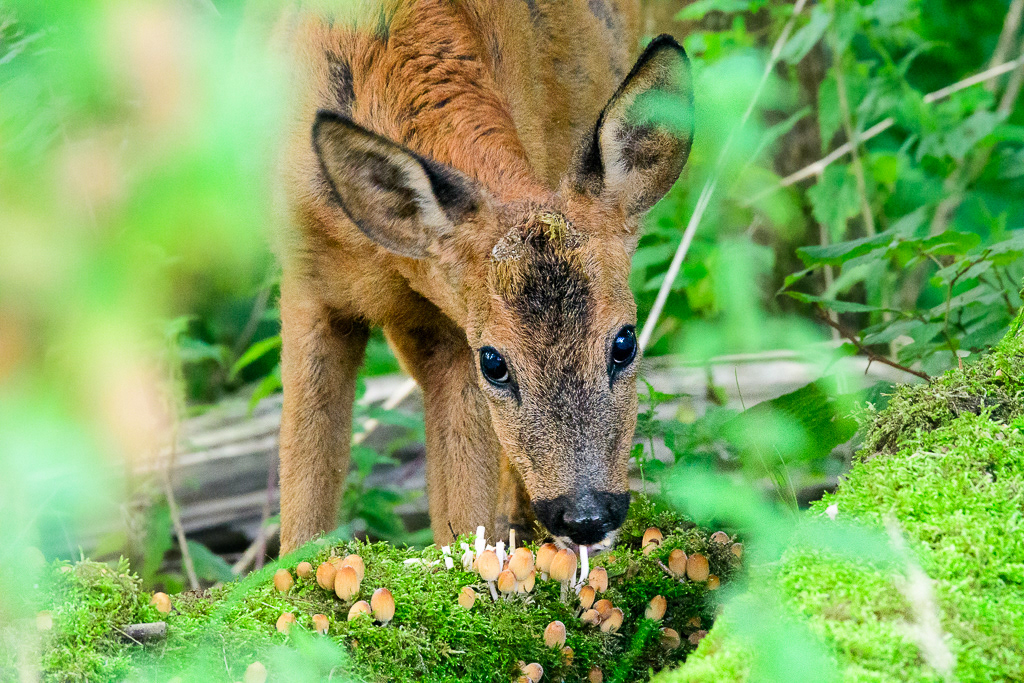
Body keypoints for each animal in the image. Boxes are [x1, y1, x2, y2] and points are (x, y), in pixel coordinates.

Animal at [272, 0, 694, 554]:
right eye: (494, 363)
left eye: (625, 342)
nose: (586, 516)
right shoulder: (308, 284)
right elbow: (303, 493)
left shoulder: (450, 325)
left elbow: (462, 512)